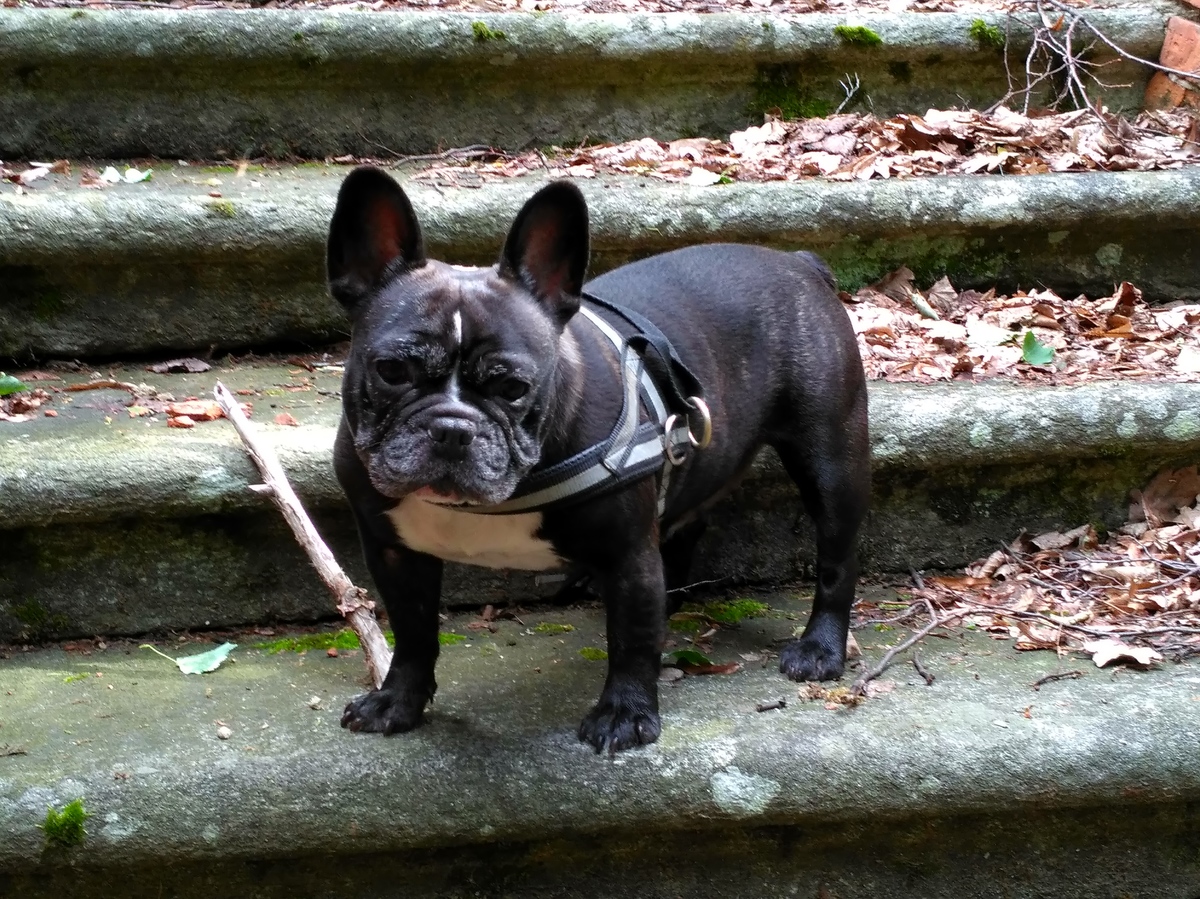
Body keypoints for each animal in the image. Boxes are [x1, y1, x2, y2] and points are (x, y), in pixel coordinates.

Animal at [328, 166, 870, 753]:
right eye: (391, 371)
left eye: (514, 387)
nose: (452, 428)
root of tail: (799, 262)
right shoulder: (393, 551)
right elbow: (412, 630)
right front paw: (397, 701)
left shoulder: (628, 554)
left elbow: (630, 639)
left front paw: (625, 715)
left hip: (832, 459)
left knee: (837, 556)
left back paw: (819, 649)